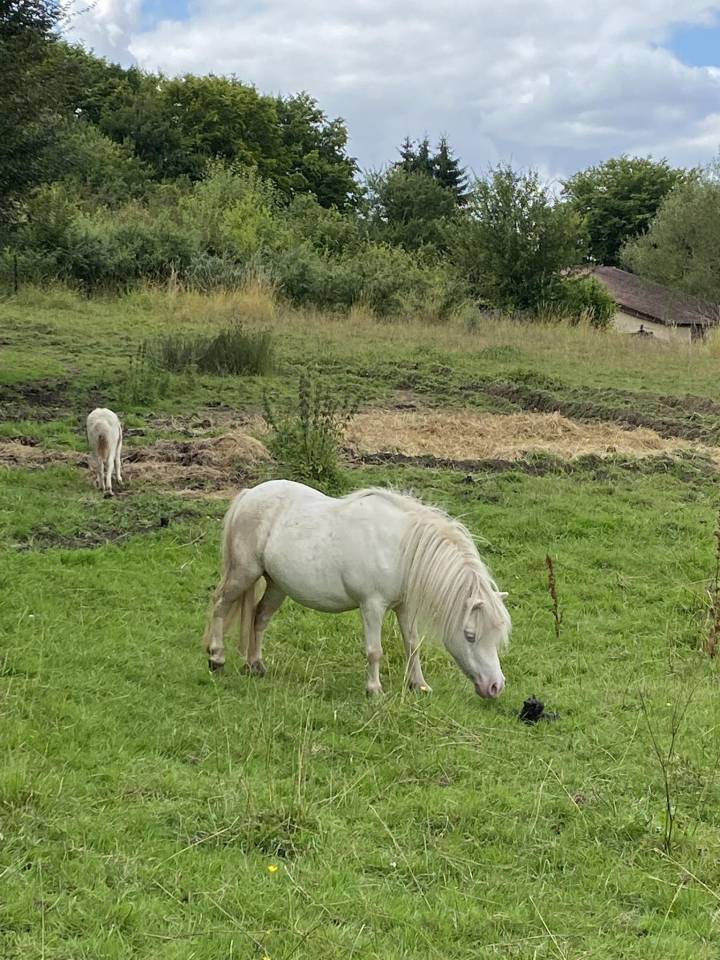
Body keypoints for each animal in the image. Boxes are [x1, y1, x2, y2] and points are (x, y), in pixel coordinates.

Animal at [203, 480, 511, 697]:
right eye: (470, 635)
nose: (495, 686)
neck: (401, 547)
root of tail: (248, 494)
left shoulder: (405, 607)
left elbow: (412, 644)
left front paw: (419, 685)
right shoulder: (372, 606)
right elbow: (374, 650)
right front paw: (374, 689)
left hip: (277, 585)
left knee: (259, 618)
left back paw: (256, 665)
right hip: (243, 574)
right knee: (220, 606)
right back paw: (216, 657)